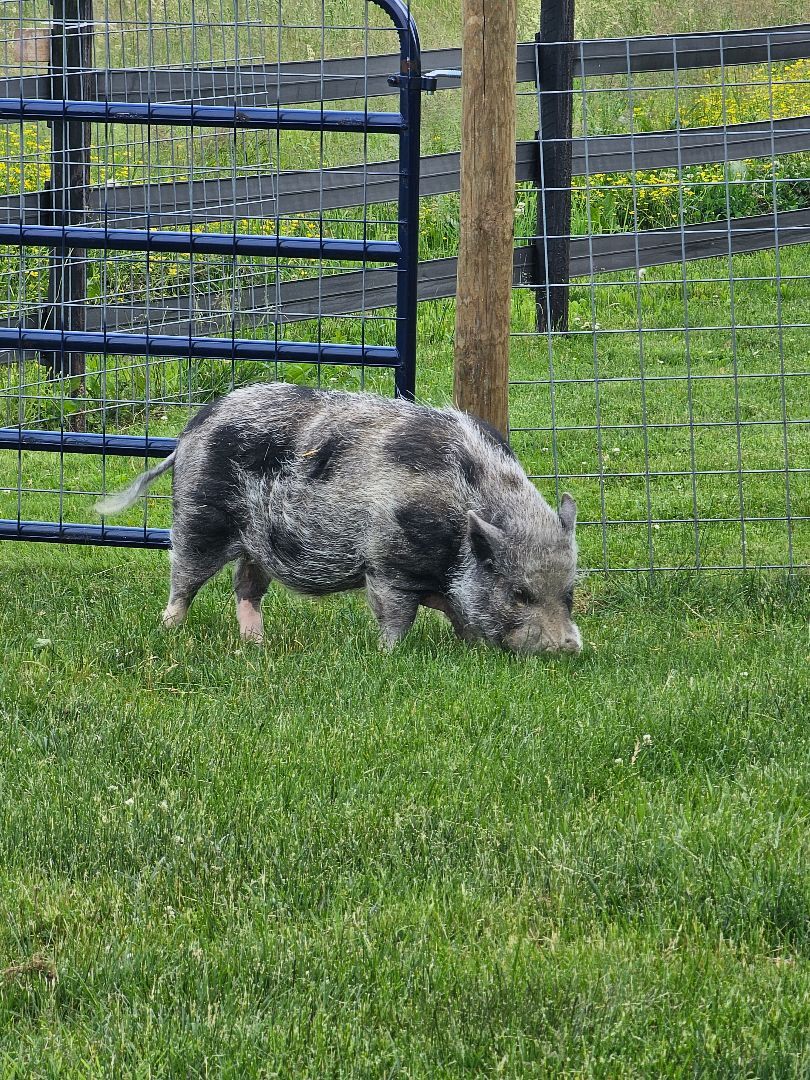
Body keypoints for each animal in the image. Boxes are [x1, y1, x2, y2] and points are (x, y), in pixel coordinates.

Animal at [95, 383, 582, 655]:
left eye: (570, 594)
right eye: (519, 593)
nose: (569, 647)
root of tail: (189, 434)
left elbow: (459, 614)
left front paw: (474, 649)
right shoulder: (386, 562)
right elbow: (396, 614)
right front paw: (387, 656)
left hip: (258, 543)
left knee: (245, 586)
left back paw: (257, 645)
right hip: (200, 515)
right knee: (184, 576)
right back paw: (169, 629)